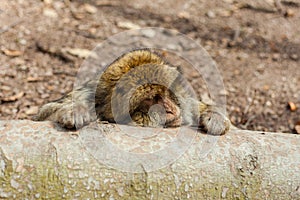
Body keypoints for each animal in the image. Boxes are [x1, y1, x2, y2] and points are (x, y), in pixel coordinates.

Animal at [34, 49, 231, 135]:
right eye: (150, 100)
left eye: (164, 93)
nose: (169, 109)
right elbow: (43, 115)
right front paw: (77, 111)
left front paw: (215, 117)